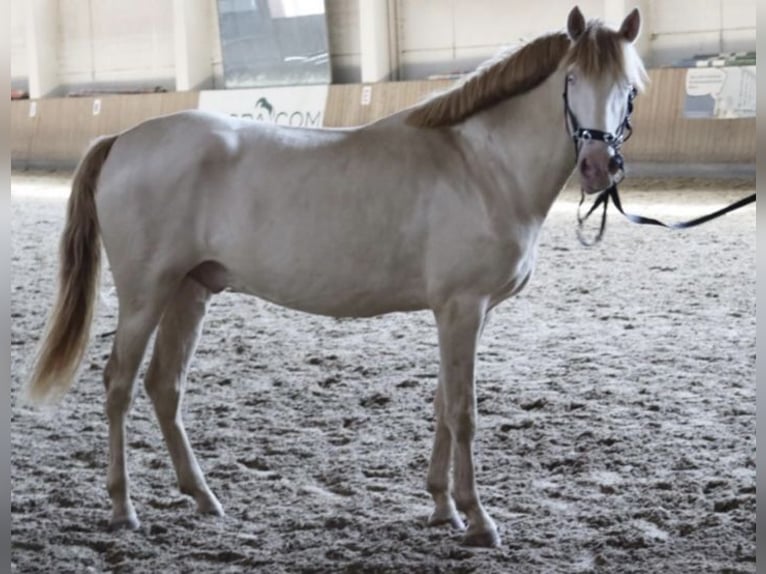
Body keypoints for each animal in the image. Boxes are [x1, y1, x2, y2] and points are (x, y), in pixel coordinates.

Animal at [24, 6, 648, 552]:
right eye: (572, 79)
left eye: (631, 87)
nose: (599, 167)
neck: (480, 165)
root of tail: (122, 140)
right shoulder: (462, 308)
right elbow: (464, 414)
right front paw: (478, 520)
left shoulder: (464, 314)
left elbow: (443, 405)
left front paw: (442, 506)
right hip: (146, 294)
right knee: (119, 385)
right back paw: (123, 509)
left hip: (189, 290)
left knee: (164, 386)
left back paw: (203, 497)